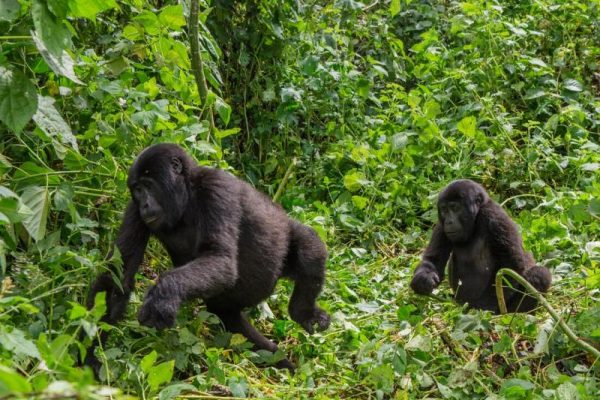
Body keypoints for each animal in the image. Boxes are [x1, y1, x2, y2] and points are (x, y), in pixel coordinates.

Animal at [86, 142, 330, 370]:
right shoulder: (134, 209)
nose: (144, 204)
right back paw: (275, 358)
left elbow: (219, 258)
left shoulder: (215, 188)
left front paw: (163, 295)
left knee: (309, 246)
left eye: (148, 186)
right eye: (137, 190)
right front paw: (90, 355)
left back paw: (303, 312)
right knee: (229, 320)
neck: (187, 194)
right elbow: (118, 274)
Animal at [410, 180, 552, 314]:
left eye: (455, 208)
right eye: (444, 210)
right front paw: (423, 280)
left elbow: (511, 265)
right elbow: (434, 260)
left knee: (539, 275)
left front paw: (483, 307)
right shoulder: (441, 224)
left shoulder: (495, 217)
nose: (449, 222)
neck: (476, 217)